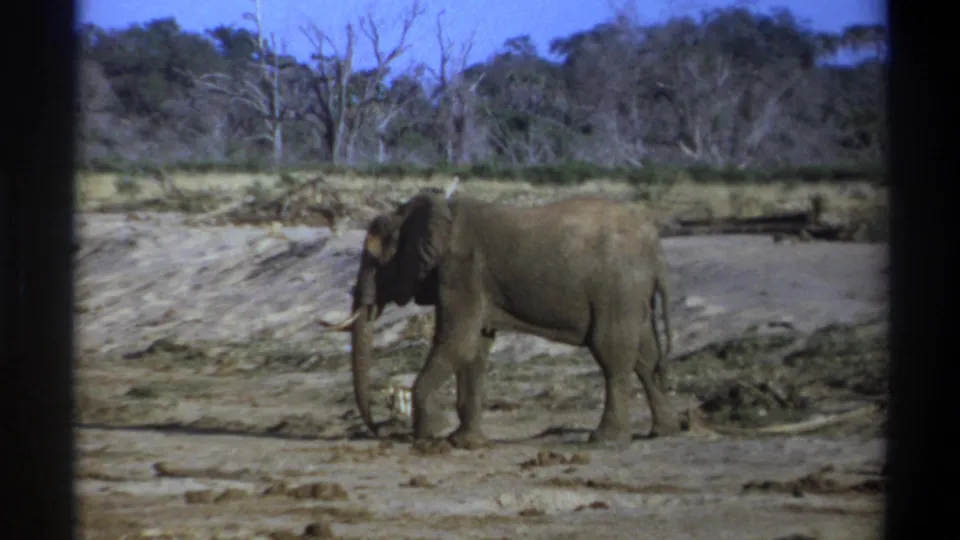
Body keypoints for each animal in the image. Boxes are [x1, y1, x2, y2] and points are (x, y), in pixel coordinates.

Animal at [319, 180, 682, 448]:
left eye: (375, 261)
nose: (381, 430)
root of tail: (658, 251)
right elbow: (475, 348)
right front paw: (464, 442)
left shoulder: (462, 269)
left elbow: (458, 342)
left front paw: (428, 434)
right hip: (632, 293)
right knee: (646, 355)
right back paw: (662, 431)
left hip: (617, 288)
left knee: (613, 355)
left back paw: (605, 439)